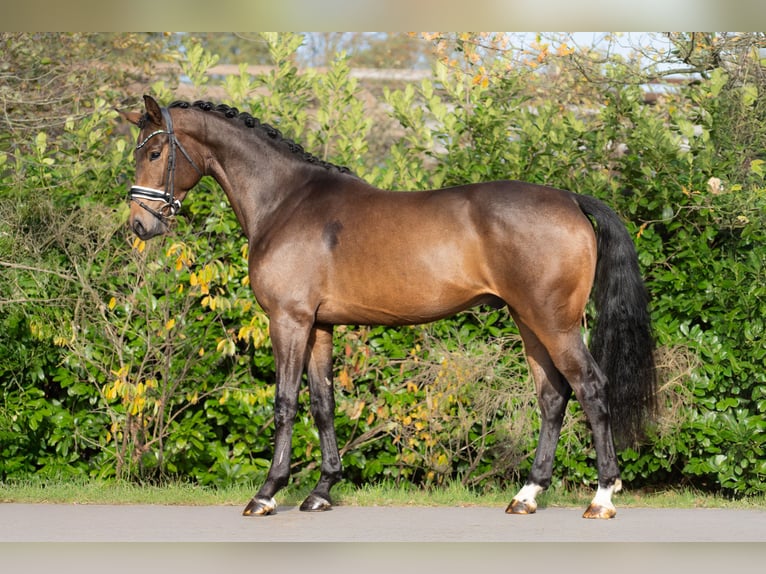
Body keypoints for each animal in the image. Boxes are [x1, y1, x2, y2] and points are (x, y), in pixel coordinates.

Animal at [119, 95, 657, 519]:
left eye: (155, 151)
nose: (141, 225)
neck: (286, 201)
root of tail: (569, 198)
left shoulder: (288, 320)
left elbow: (286, 403)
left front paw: (267, 493)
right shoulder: (319, 326)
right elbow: (323, 404)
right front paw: (321, 491)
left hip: (553, 322)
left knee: (591, 387)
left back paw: (602, 497)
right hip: (529, 322)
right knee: (552, 397)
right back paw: (527, 494)